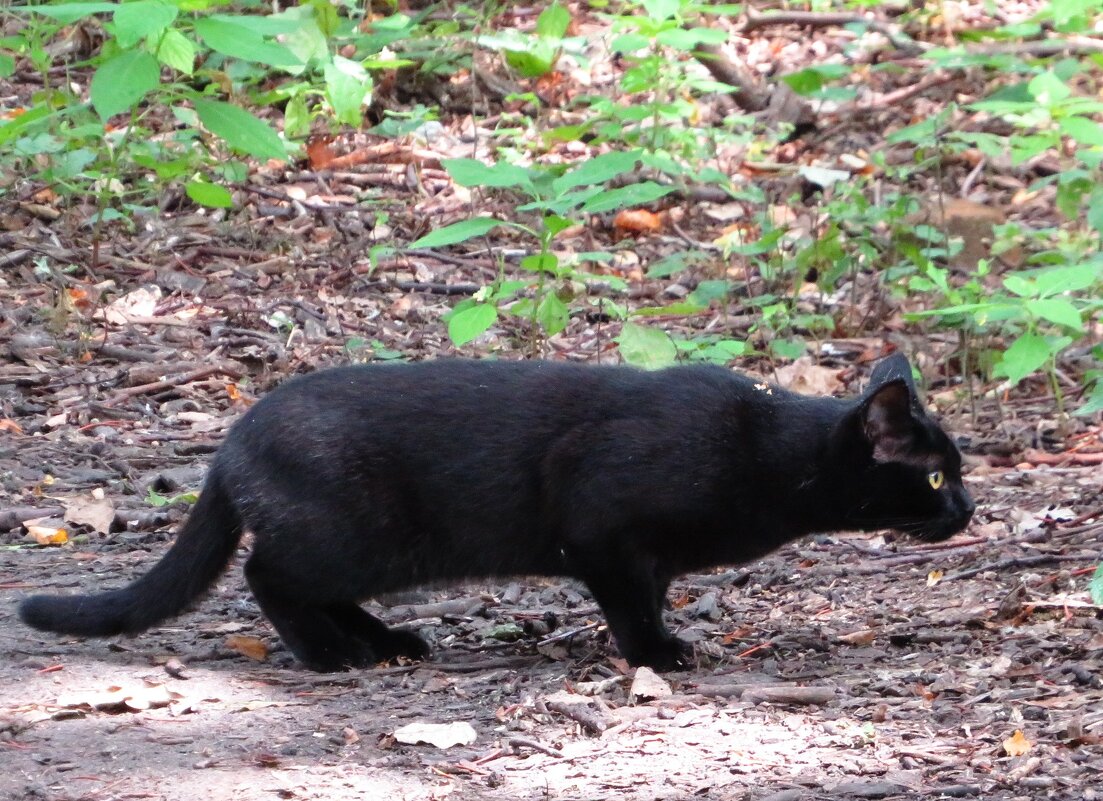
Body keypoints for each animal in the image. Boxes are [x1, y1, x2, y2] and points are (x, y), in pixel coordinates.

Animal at [15, 355, 966, 675]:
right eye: (930, 479)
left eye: (955, 474)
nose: (966, 506)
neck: (768, 452)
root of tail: (231, 437)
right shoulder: (602, 530)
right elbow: (633, 603)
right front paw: (658, 654)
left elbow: (649, 593)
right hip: (352, 537)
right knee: (266, 575)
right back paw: (335, 656)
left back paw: (390, 642)